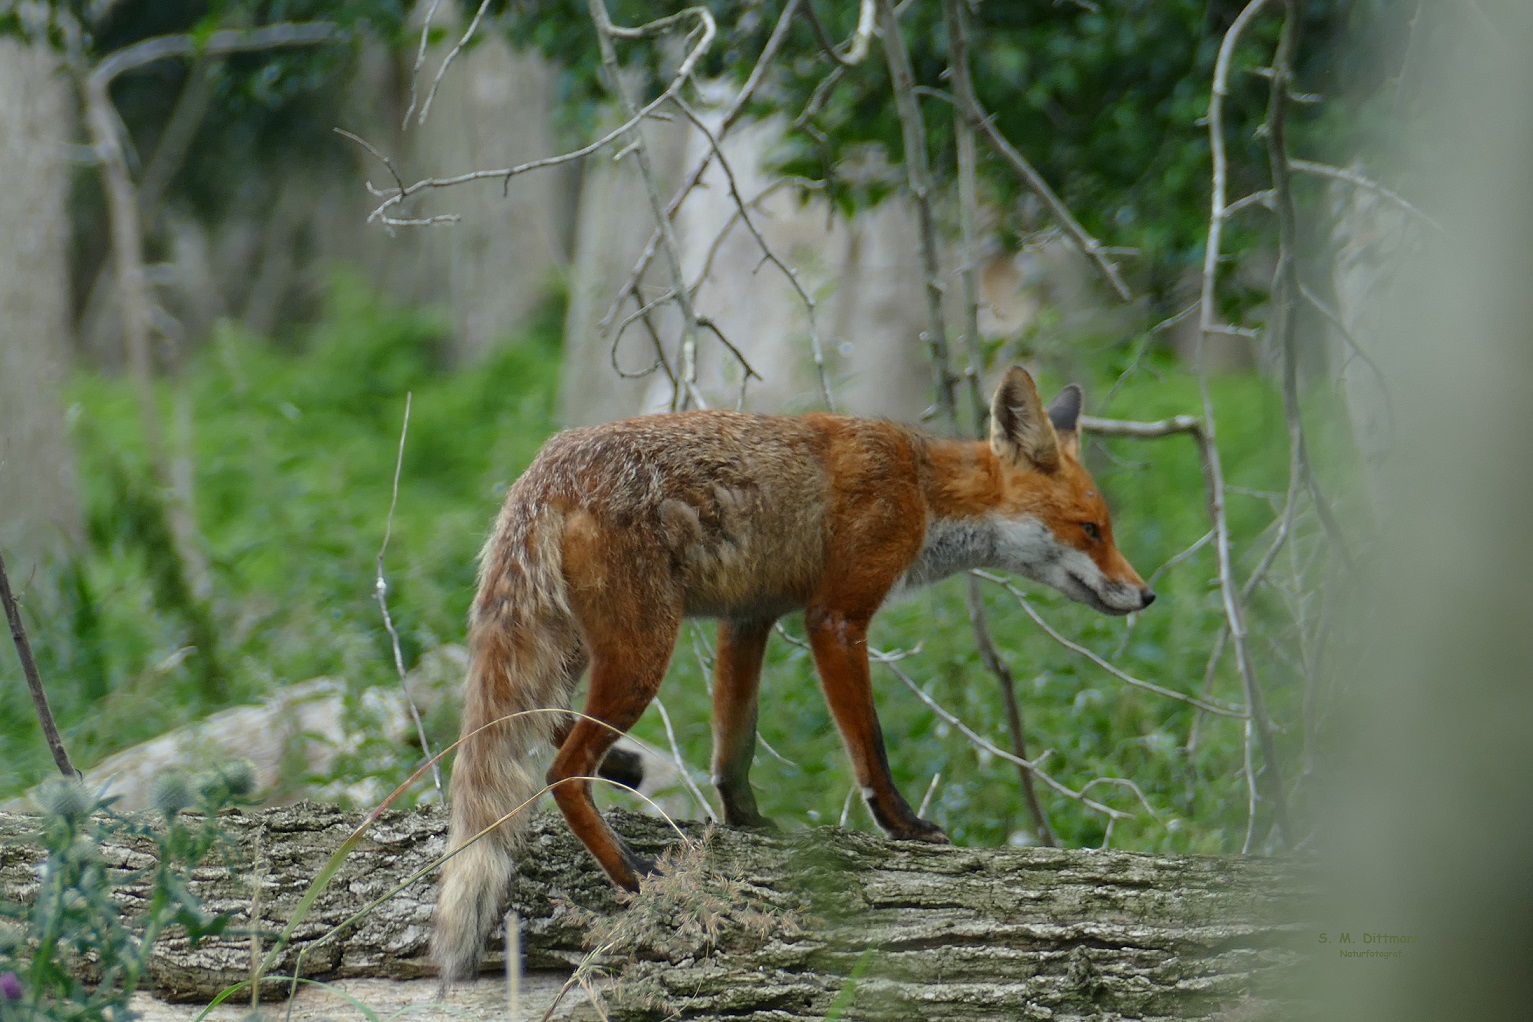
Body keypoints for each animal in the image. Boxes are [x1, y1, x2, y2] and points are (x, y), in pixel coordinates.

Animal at [432, 369, 1152, 980]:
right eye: (1091, 529)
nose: (1145, 595)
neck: (921, 486)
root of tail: (546, 466)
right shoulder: (834, 618)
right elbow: (869, 748)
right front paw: (905, 827)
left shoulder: (748, 619)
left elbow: (733, 748)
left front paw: (745, 820)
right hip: (642, 652)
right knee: (560, 768)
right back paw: (633, 873)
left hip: (577, 649)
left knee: (540, 728)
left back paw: (625, 779)